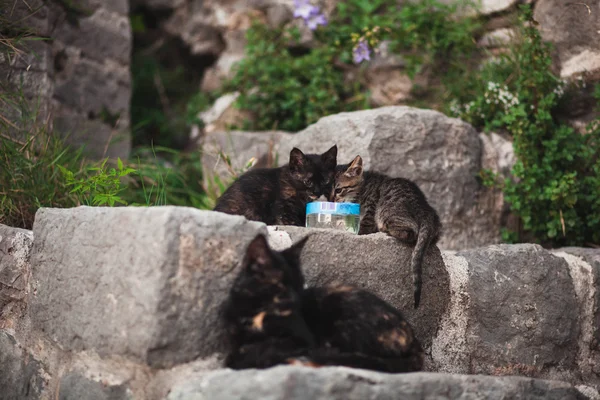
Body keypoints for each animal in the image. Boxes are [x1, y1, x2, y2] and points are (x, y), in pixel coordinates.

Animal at [223, 233, 424, 374]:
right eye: (281, 287)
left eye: (299, 284)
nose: (297, 300)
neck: (258, 311)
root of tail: (414, 341)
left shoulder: (303, 338)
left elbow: (268, 346)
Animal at [330, 156, 442, 310]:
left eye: (339, 190)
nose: (330, 201)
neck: (363, 186)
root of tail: (426, 211)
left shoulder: (371, 210)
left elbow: (364, 228)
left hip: (385, 213)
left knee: (410, 232)